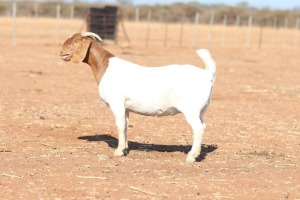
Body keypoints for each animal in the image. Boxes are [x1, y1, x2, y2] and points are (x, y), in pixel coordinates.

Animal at [60, 31, 216, 162]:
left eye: (76, 42)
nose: (62, 53)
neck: (105, 66)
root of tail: (206, 74)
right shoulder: (126, 107)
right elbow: (126, 125)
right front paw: (125, 149)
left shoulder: (117, 103)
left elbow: (119, 125)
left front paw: (118, 151)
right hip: (202, 110)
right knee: (203, 126)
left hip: (191, 109)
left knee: (198, 128)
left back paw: (191, 156)